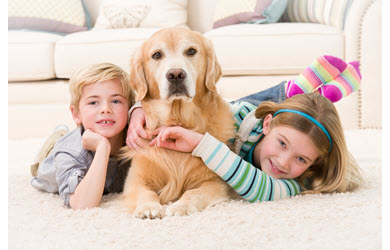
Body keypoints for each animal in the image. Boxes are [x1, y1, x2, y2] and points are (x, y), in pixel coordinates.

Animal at [122, 27, 236, 219]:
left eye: (191, 51)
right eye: (157, 55)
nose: (176, 75)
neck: (177, 119)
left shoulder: (215, 181)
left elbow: (193, 192)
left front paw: (181, 205)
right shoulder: (135, 180)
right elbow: (146, 192)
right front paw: (148, 207)